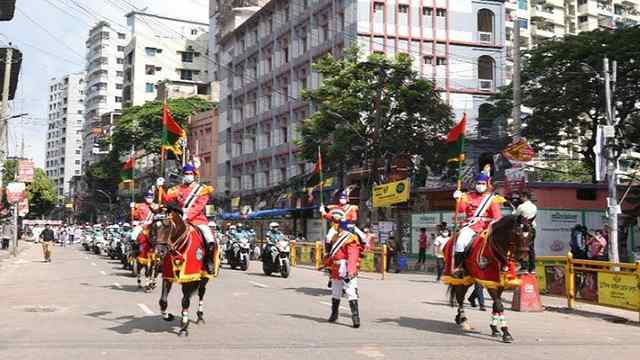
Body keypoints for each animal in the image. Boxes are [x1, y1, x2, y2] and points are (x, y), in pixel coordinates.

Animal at [151, 205, 216, 338]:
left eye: (167, 225)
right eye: (153, 226)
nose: (159, 252)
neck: (180, 246)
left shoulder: (190, 277)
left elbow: (185, 301)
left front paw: (184, 327)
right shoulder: (168, 275)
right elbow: (163, 301)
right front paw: (168, 316)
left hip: (204, 277)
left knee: (201, 293)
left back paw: (200, 316)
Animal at [442, 214, 532, 344]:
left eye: (530, 234)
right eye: (517, 233)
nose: (523, 260)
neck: (496, 253)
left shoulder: (500, 283)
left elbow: (496, 304)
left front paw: (494, 328)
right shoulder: (490, 283)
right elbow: (499, 305)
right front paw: (506, 332)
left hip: (469, 279)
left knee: (460, 297)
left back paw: (459, 318)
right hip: (461, 278)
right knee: (460, 298)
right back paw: (463, 320)